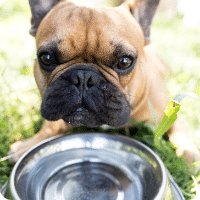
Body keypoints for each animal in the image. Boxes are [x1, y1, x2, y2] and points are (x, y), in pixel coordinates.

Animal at [9, 0, 200, 171]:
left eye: (125, 61)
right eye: (46, 58)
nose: (83, 78)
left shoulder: (170, 114)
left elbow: (182, 138)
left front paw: (189, 161)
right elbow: (53, 125)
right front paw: (29, 144)